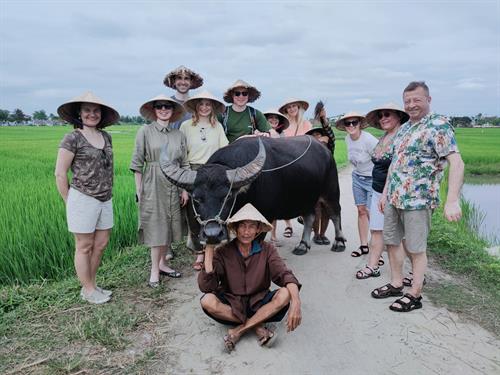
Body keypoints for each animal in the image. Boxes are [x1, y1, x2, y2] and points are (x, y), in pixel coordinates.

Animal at [160, 135, 344, 256]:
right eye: (196, 198)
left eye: (227, 197)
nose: (212, 234)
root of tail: (325, 150)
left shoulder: (265, 216)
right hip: (306, 197)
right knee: (309, 217)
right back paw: (303, 246)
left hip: (331, 191)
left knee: (335, 213)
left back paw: (339, 242)